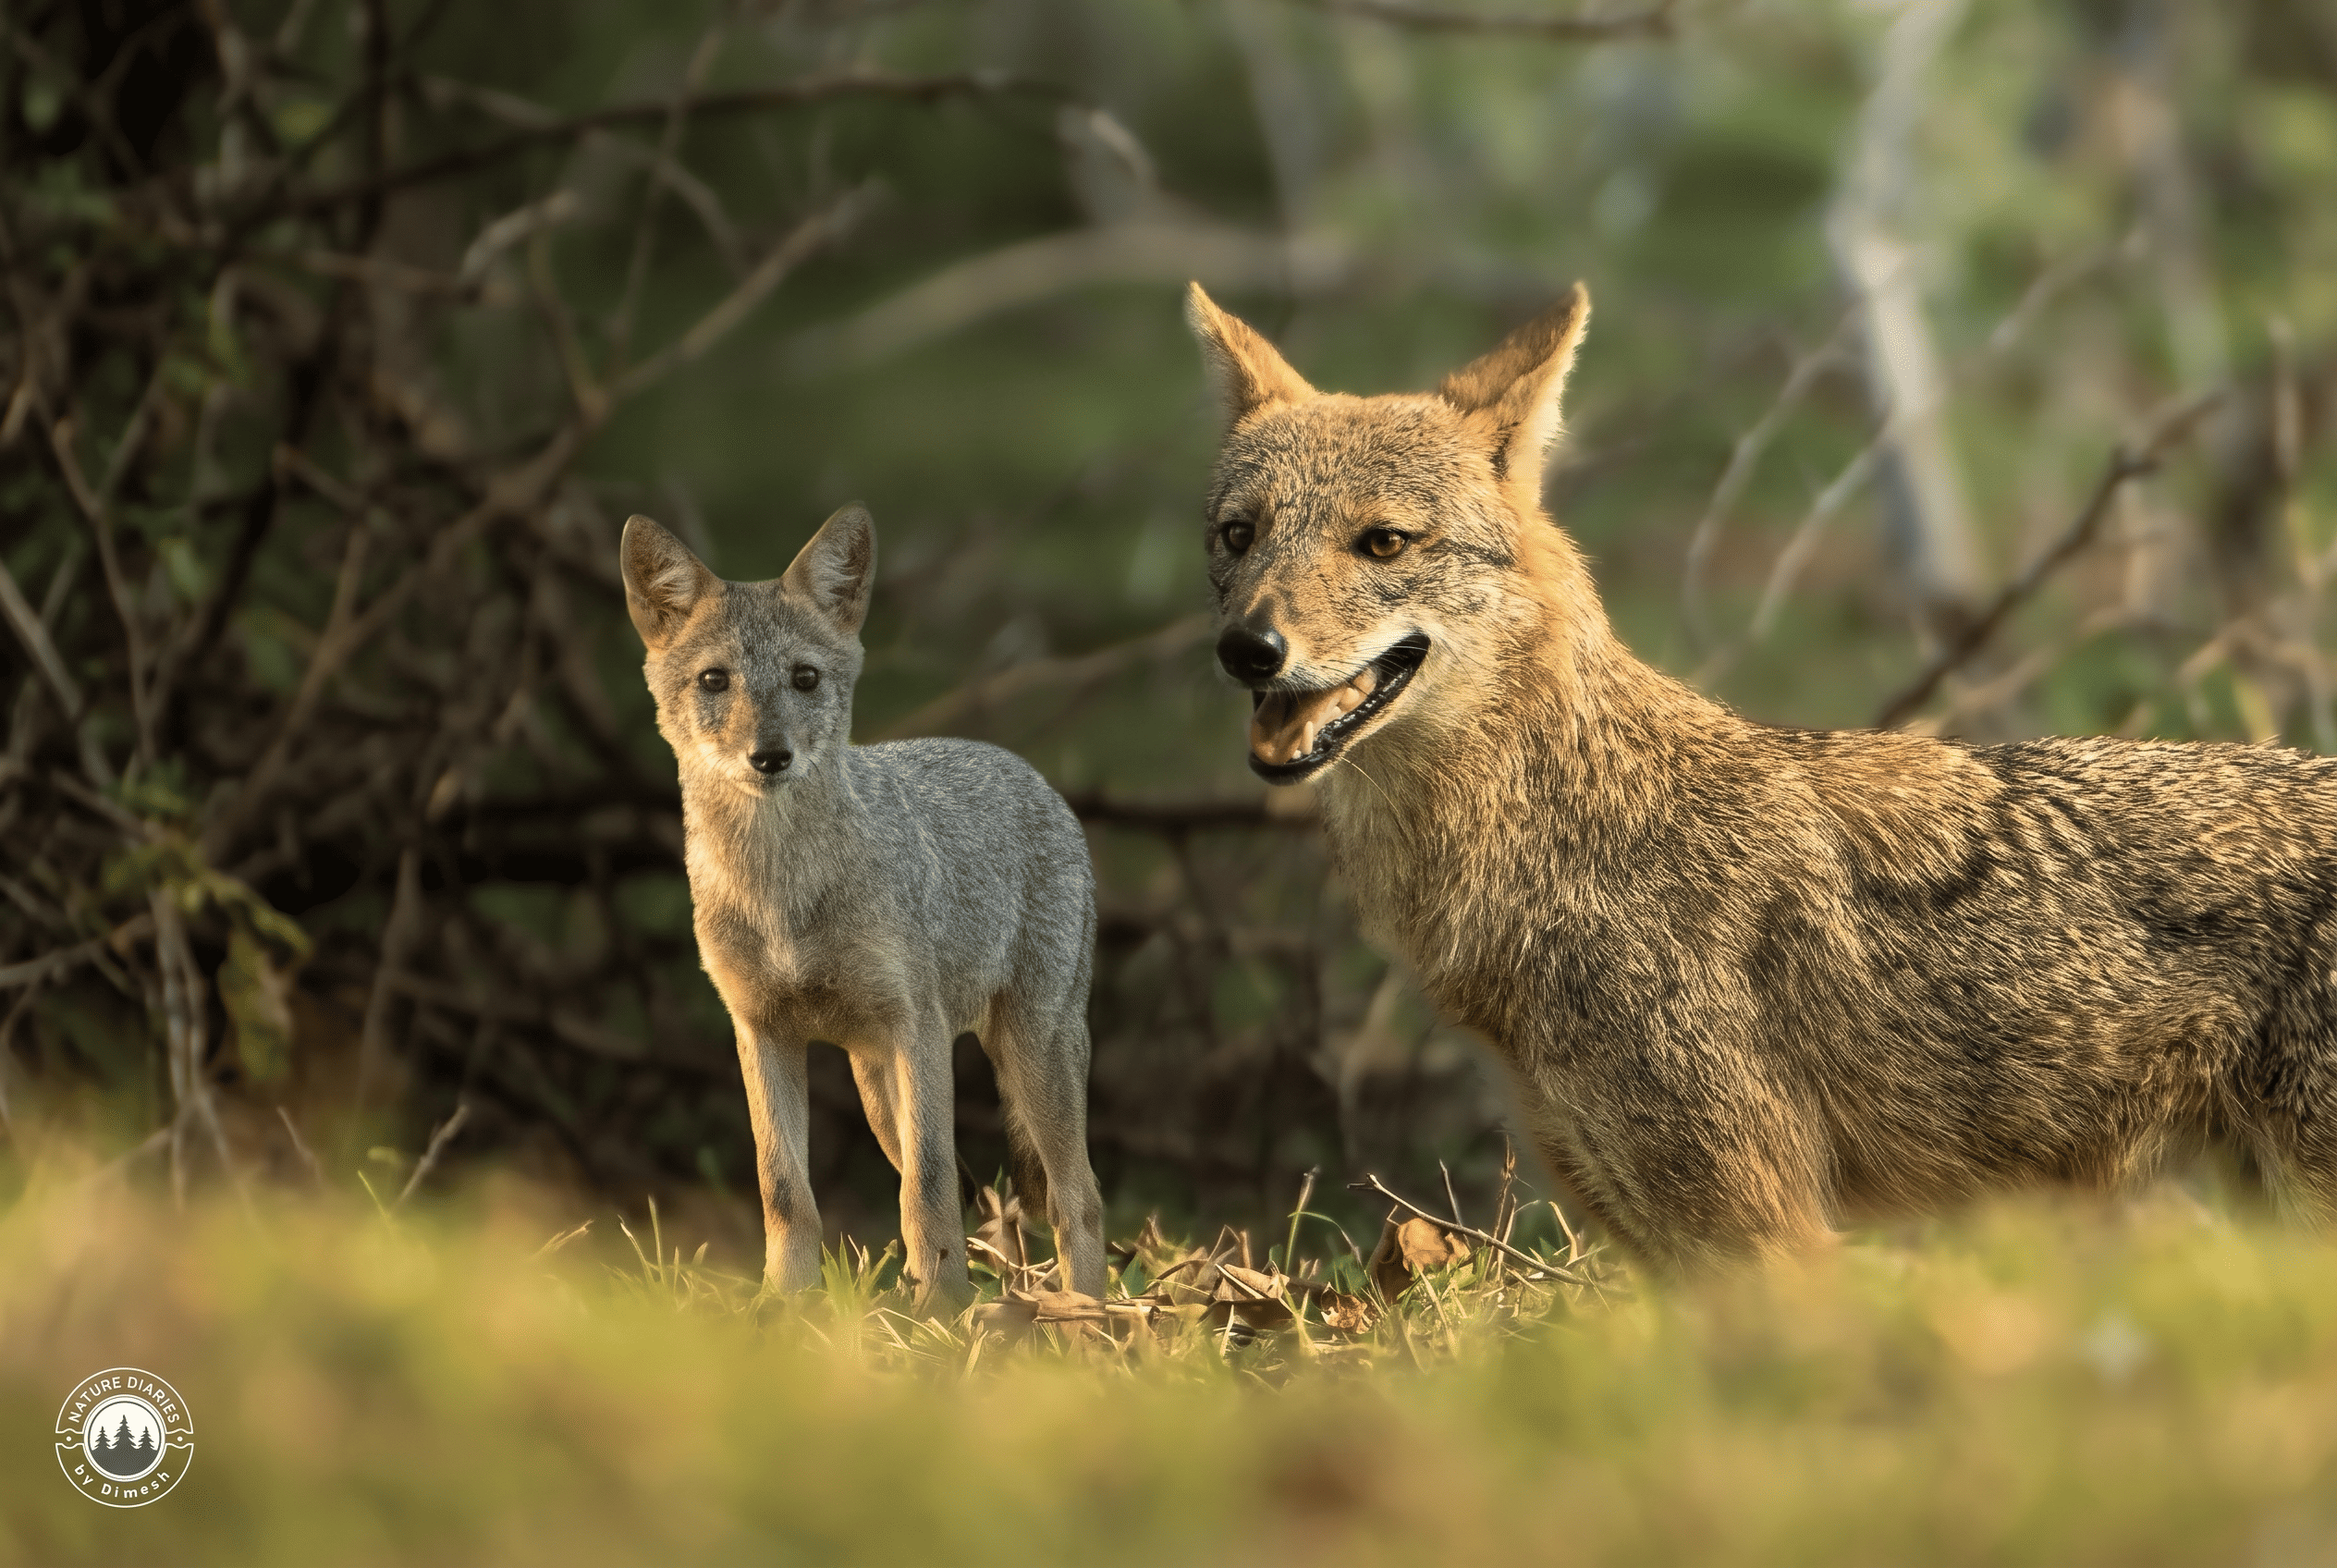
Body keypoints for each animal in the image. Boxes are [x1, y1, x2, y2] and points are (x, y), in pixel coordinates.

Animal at [619, 505, 1107, 1312]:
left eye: (804, 679)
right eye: (716, 680)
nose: (769, 756)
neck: (783, 894)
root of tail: (1029, 773)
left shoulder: (919, 1029)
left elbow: (930, 1193)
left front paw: (944, 1311)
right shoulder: (760, 1033)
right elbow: (786, 1193)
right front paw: (784, 1307)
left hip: (1028, 1056)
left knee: (1077, 1201)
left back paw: (1089, 1318)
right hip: (880, 1092)